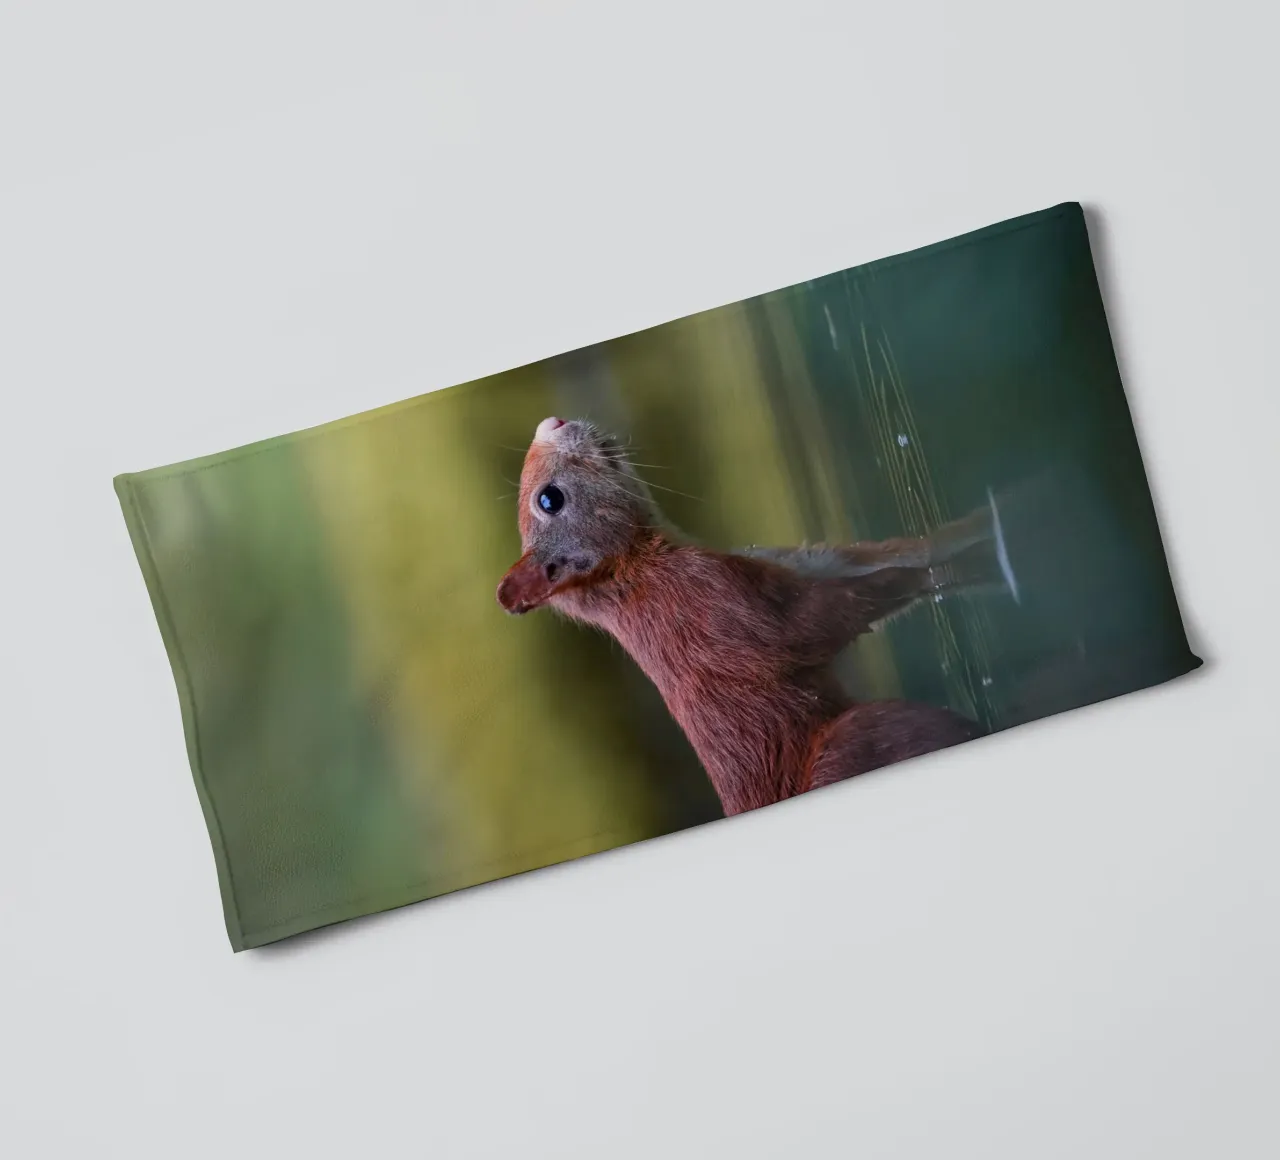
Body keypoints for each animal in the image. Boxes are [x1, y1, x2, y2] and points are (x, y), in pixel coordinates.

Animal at [496, 417, 1015, 816]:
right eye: (549, 500)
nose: (551, 422)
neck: (637, 566)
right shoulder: (718, 607)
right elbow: (826, 618)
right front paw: (975, 554)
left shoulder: (796, 564)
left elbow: (883, 556)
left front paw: (975, 530)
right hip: (862, 739)